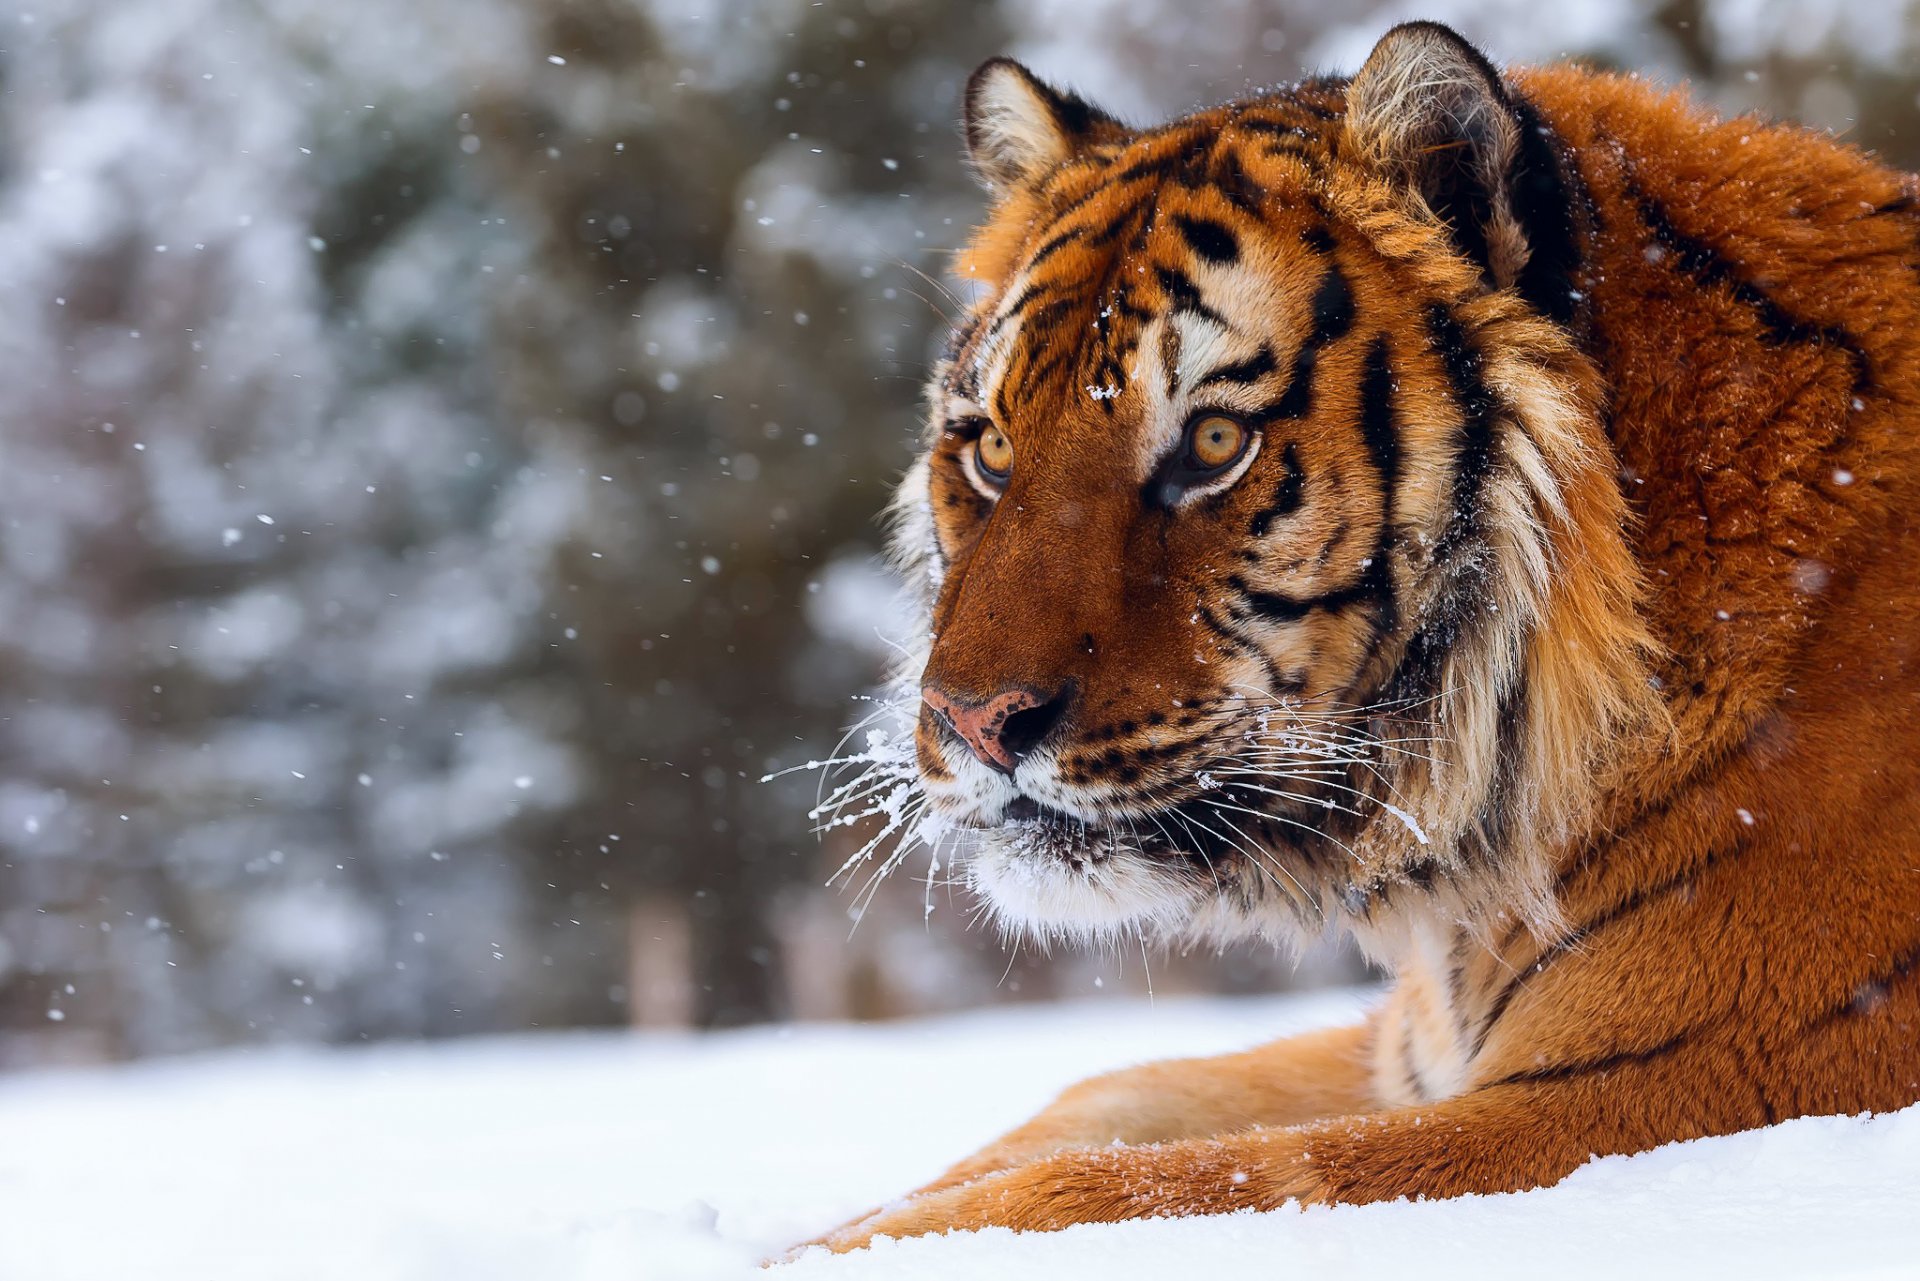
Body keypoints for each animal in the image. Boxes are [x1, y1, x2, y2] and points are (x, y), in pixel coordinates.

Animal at [806, 20, 1920, 1254]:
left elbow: (1127, 1184)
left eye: (1213, 441)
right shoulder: (1408, 1053)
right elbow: (1103, 1100)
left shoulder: (1654, 1088)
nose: (973, 722)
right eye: (993, 449)